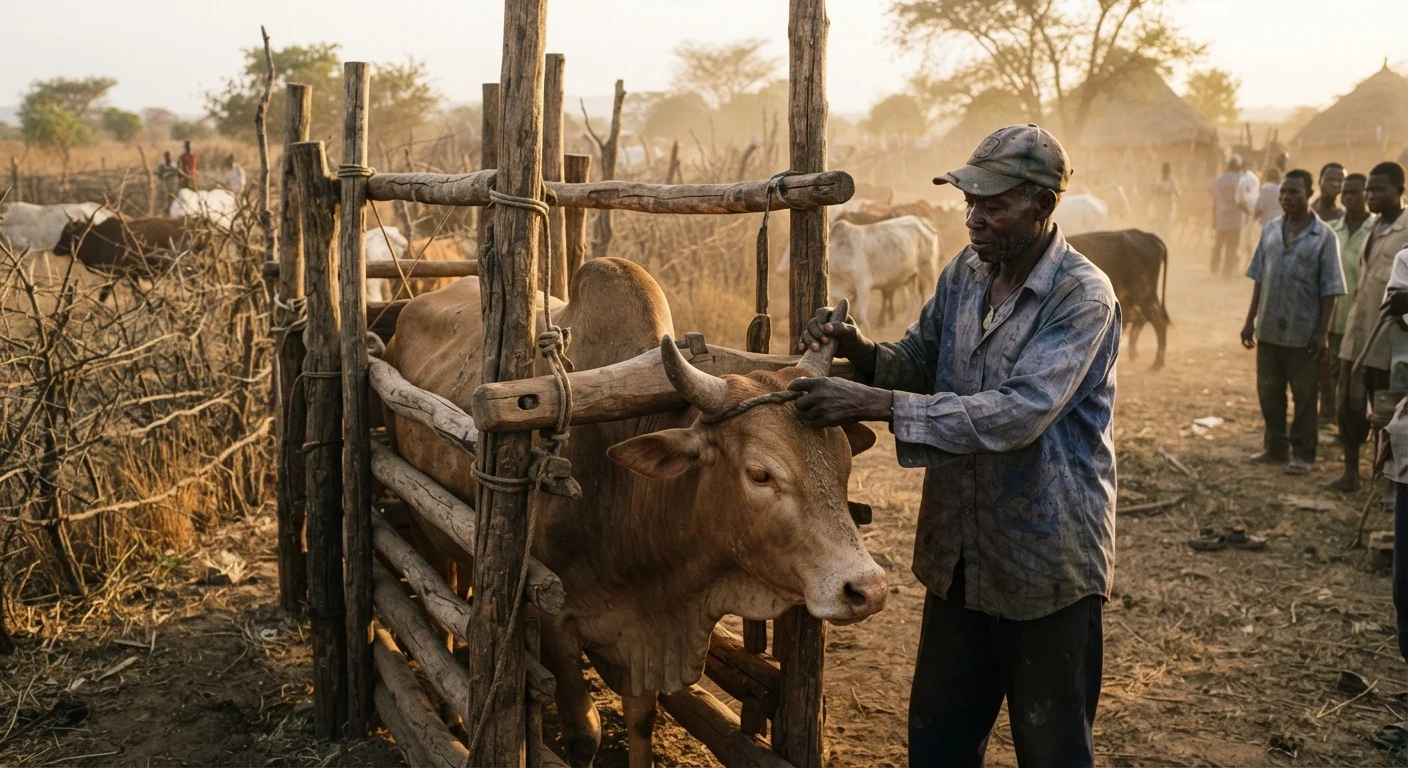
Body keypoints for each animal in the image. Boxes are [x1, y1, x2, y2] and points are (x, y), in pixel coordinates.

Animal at [52, 216, 201, 302]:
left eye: (69, 234)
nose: (55, 249)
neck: (100, 239)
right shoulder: (132, 274)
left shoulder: (120, 273)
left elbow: (105, 296)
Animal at [384, 257, 887, 767]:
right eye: (760, 474)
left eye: (845, 462)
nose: (867, 589)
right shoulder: (555, 625)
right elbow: (584, 731)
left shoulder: (640, 634)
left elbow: (642, 720)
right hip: (422, 519)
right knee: (440, 597)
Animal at [1068, 229, 1170, 369]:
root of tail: (1147, 236)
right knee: (1143, 317)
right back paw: (1134, 355)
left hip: (1144, 292)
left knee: (1157, 320)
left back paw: (1157, 364)